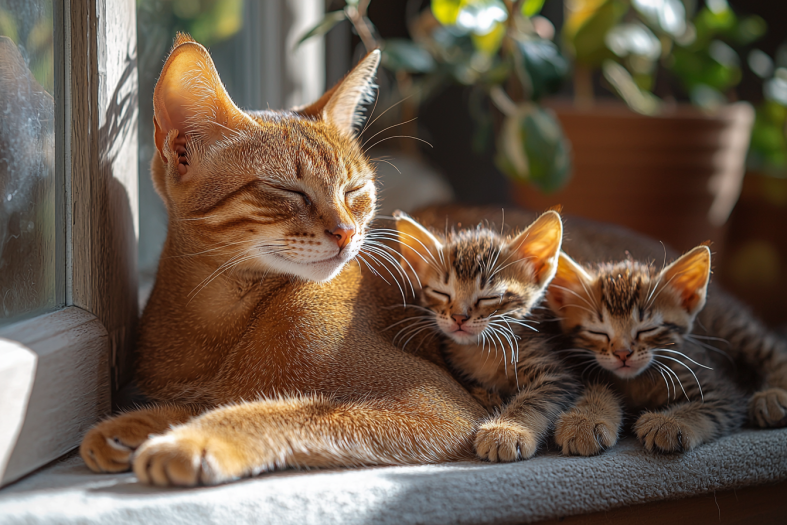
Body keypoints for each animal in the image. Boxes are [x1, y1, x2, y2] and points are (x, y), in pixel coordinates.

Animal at [392, 211, 580, 460]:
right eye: (441, 293)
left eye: (489, 297)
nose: (459, 317)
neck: (484, 349)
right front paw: (490, 400)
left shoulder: (558, 375)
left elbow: (536, 399)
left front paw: (506, 431)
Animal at [544, 247, 748, 454]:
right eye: (597, 332)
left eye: (648, 329)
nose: (622, 353)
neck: (635, 382)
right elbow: (596, 387)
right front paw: (585, 420)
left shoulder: (720, 391)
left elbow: (712, 407)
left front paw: (670, 423)